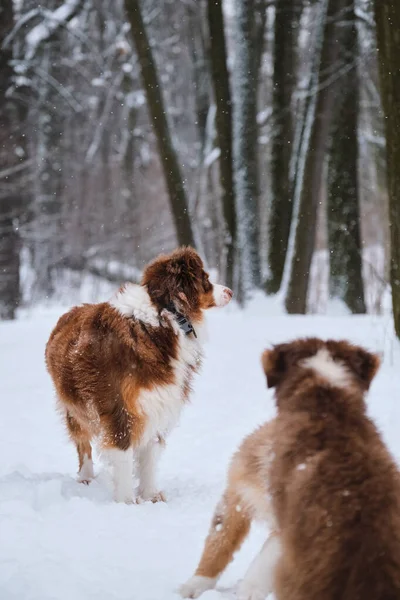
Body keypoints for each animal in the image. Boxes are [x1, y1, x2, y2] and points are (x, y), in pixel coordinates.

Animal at [46, 246, 234, 504]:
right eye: (205, 279)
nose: (230, 291)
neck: (164, 316)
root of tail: (69, 312)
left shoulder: (158, 401)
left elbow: (150, 453)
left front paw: (150, 495)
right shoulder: (118, 406)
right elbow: (123, 451)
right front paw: (126, 501)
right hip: (75, 408)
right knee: (83, 443)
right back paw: (86, 477)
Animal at [181, 338, 400, 600]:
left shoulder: (286, 529)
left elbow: (263, 561)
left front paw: (249, 591)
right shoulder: (237, 496)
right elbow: (220, 542)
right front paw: (195, 584)